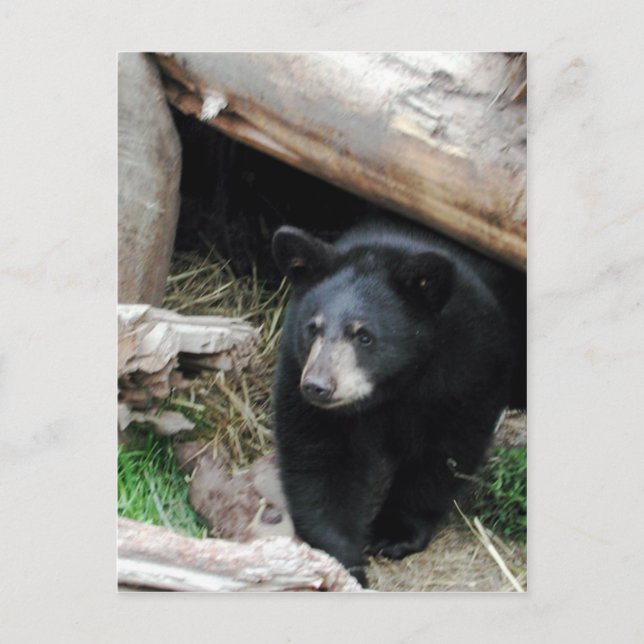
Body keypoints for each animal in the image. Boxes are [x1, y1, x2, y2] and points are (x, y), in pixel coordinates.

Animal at [271, 218, 525, 587]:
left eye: (364, 336)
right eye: (313, 328)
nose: (318, 387)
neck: (394, 384)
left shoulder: (469, 363)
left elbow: (446, 451)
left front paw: (393, 534)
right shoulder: (296, 367)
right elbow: (319, 457)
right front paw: (342, 563)